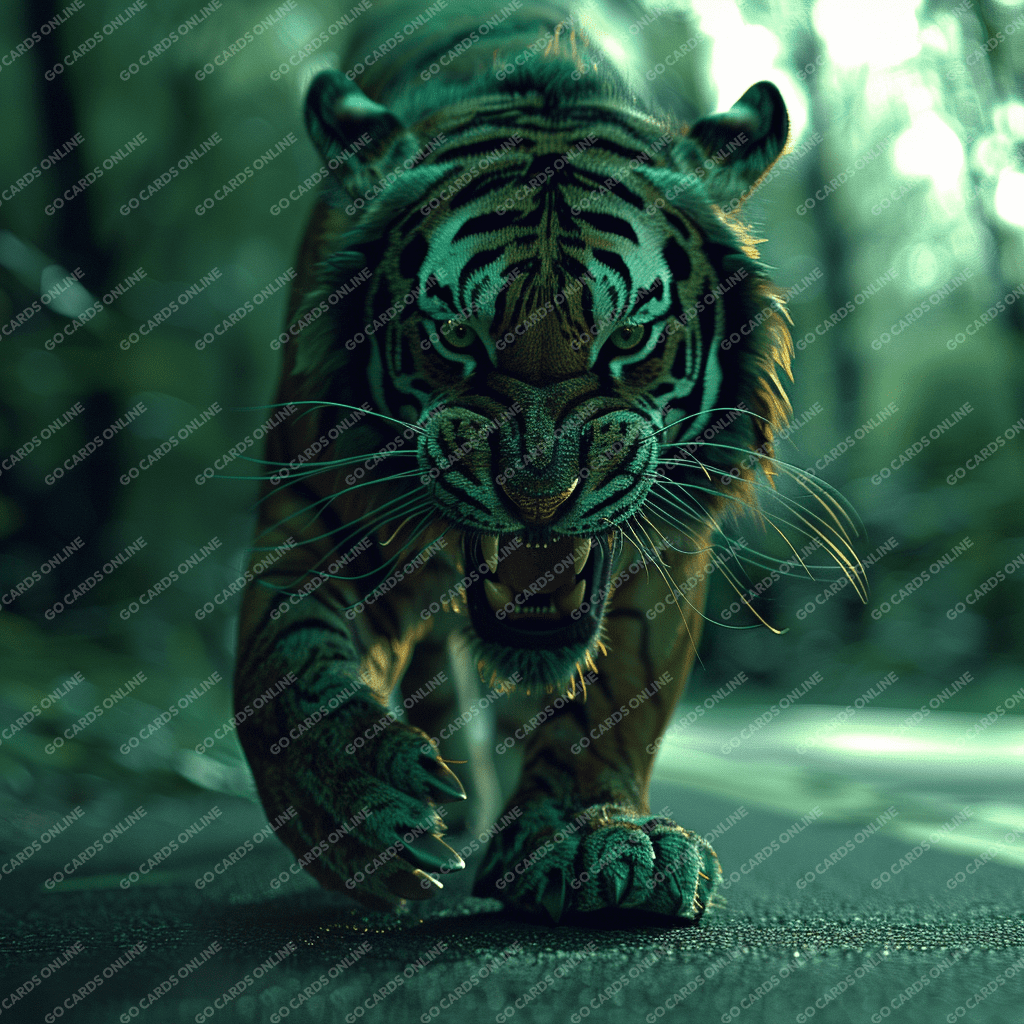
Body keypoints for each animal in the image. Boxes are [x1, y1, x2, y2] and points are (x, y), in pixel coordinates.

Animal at [234, 0, 802, 923]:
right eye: (455, 337)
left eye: (628, 340)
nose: (541, 493)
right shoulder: (314, 527)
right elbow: (283, 675)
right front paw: (362, 803)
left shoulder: (663, 550)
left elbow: (612, 703)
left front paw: (591, 836)